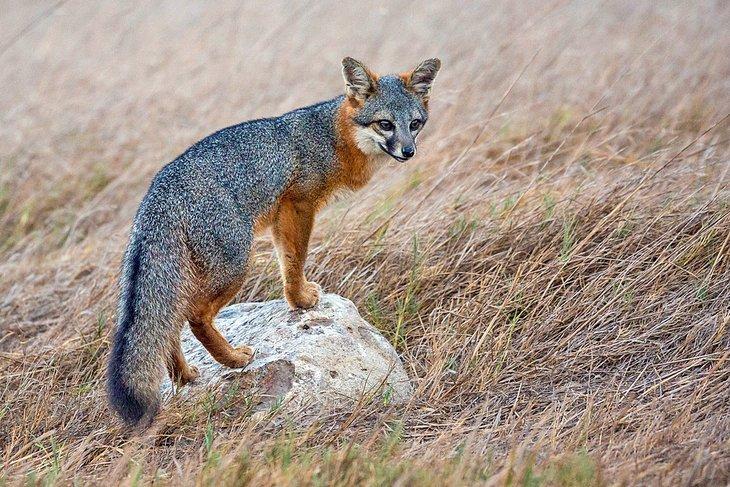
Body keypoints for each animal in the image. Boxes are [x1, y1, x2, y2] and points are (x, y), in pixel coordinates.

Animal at [107, 57, 441, 427]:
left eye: (414, 124)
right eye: (385, 124)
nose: (408, 151)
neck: (333, 136)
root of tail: (159, 191)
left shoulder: (282, 218)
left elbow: (287, 260)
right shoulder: (298, 206)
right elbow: (295, 260)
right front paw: (301, 301)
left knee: (170, 324)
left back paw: (184, 375)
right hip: (236, 265)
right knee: (195, 317)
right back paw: (234, 359)